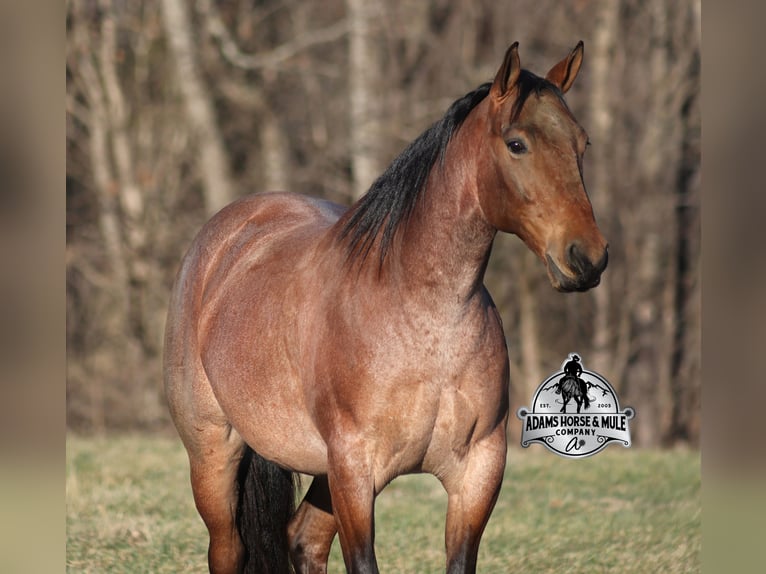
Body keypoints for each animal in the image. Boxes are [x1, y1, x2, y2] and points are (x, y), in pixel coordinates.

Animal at [164, 41, 608, 574]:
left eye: (583, 144)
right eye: (516, 143)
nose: (587, 257)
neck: (426, 320)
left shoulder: (478, 472)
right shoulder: (354, 472)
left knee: (303, 538)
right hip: (215, 453)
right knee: (229, 548)